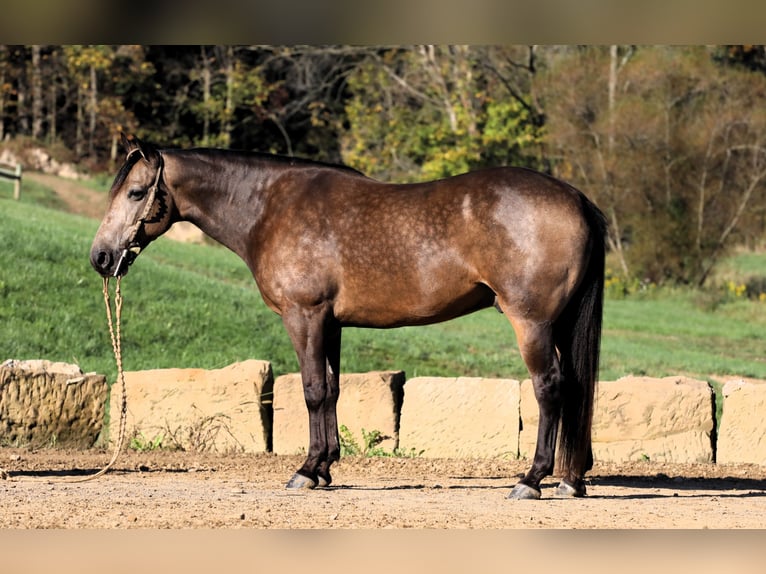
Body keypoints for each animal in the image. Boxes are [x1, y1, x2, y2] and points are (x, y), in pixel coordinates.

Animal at [88, 134, 608, 500]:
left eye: (136, 192)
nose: (101, 257)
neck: (270, 206)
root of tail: (577, 197)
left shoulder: (304, 316)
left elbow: (313, 391)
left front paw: (306, 470)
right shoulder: (331, 323)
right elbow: (333, 390)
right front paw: (324, 468)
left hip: (532, 324)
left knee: (550, 389)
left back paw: (532, 480)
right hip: (559, 325)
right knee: (574, 388)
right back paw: (571, 480)